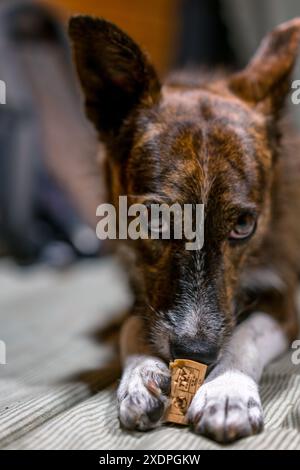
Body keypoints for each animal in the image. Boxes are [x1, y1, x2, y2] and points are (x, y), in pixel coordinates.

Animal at [69, 16, 300, 442]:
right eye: (155, 220)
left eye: (244, 225)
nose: (196, 354)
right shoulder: (141, 291)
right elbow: (132, 326)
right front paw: (141, 375)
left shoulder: (283, 296)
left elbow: (246, 333)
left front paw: (227, 391)